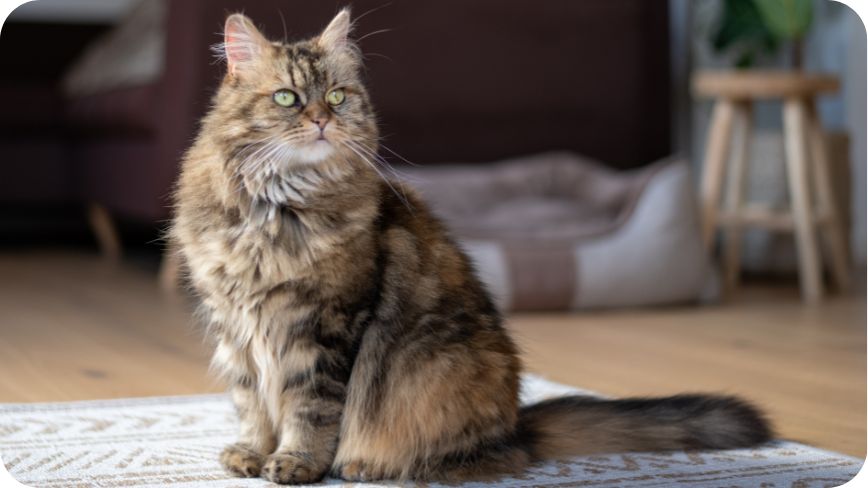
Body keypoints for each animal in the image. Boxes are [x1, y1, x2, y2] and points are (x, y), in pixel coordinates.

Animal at [171, 8, 772, 484]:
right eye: (287, 98)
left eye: (337, 97)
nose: (321, 120)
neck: (274, 211)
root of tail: (517, 426)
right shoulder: (236, 327)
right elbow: (252, 402)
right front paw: (252, 454)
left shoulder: (325, 326)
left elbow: (308, 409)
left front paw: (296, 463)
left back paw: (368, 465)